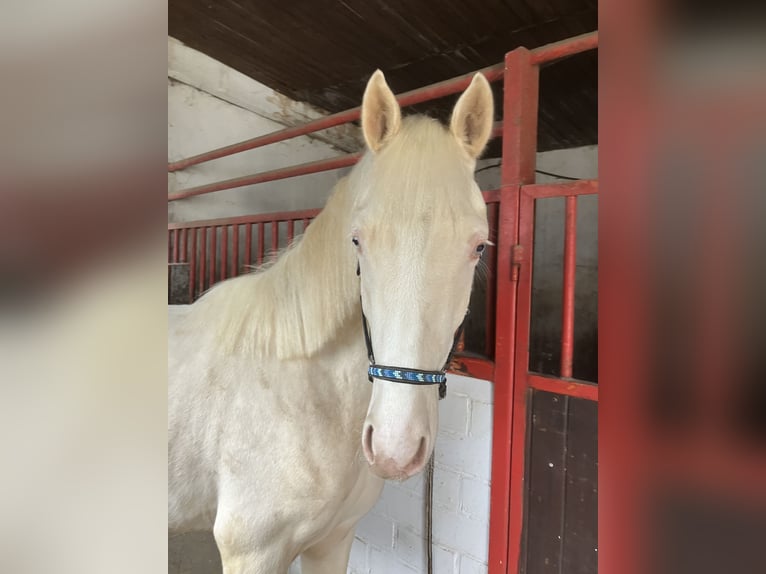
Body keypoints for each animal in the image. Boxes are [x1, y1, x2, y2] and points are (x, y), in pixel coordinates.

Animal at [168, 69, 494, 573]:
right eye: (357, 240)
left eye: (478, 246)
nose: (395, 449)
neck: (306, 391)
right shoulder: (252, 550)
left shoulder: (334, 538)